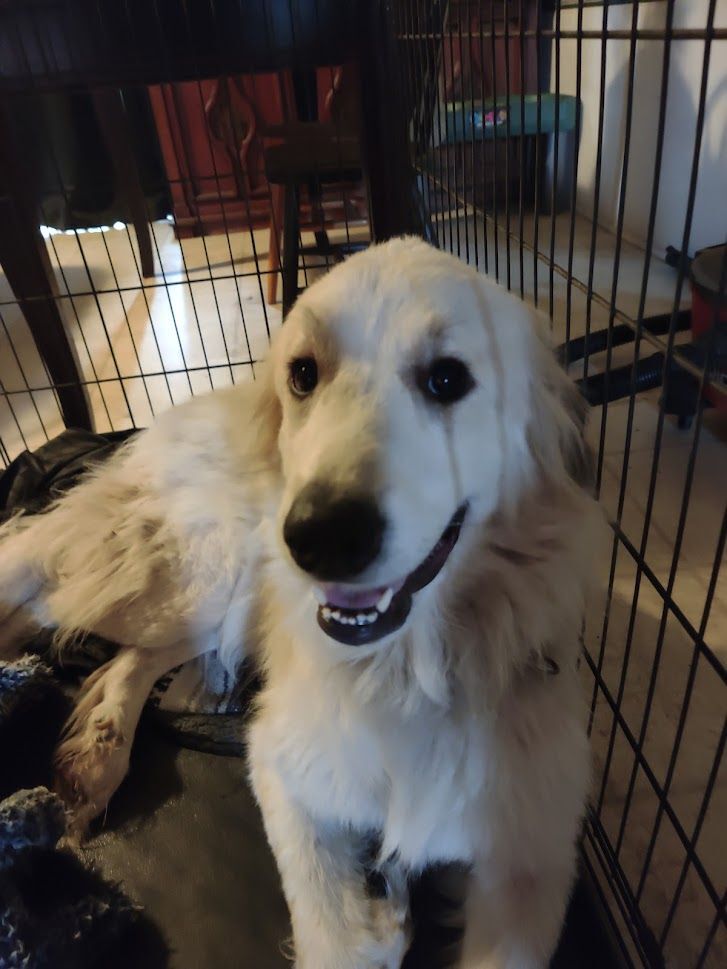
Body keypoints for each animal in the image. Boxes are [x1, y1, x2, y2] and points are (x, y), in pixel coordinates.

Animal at [0, 237, 603, 969]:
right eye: (305, 374)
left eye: (446, 378)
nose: (320, 536)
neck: (405, 674)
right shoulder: (285, 773)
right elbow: (335, 935)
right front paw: (379, 921)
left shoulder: (531, 862)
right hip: (190, 577)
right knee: (30, 559)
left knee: (129, 659)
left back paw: (99, 754)